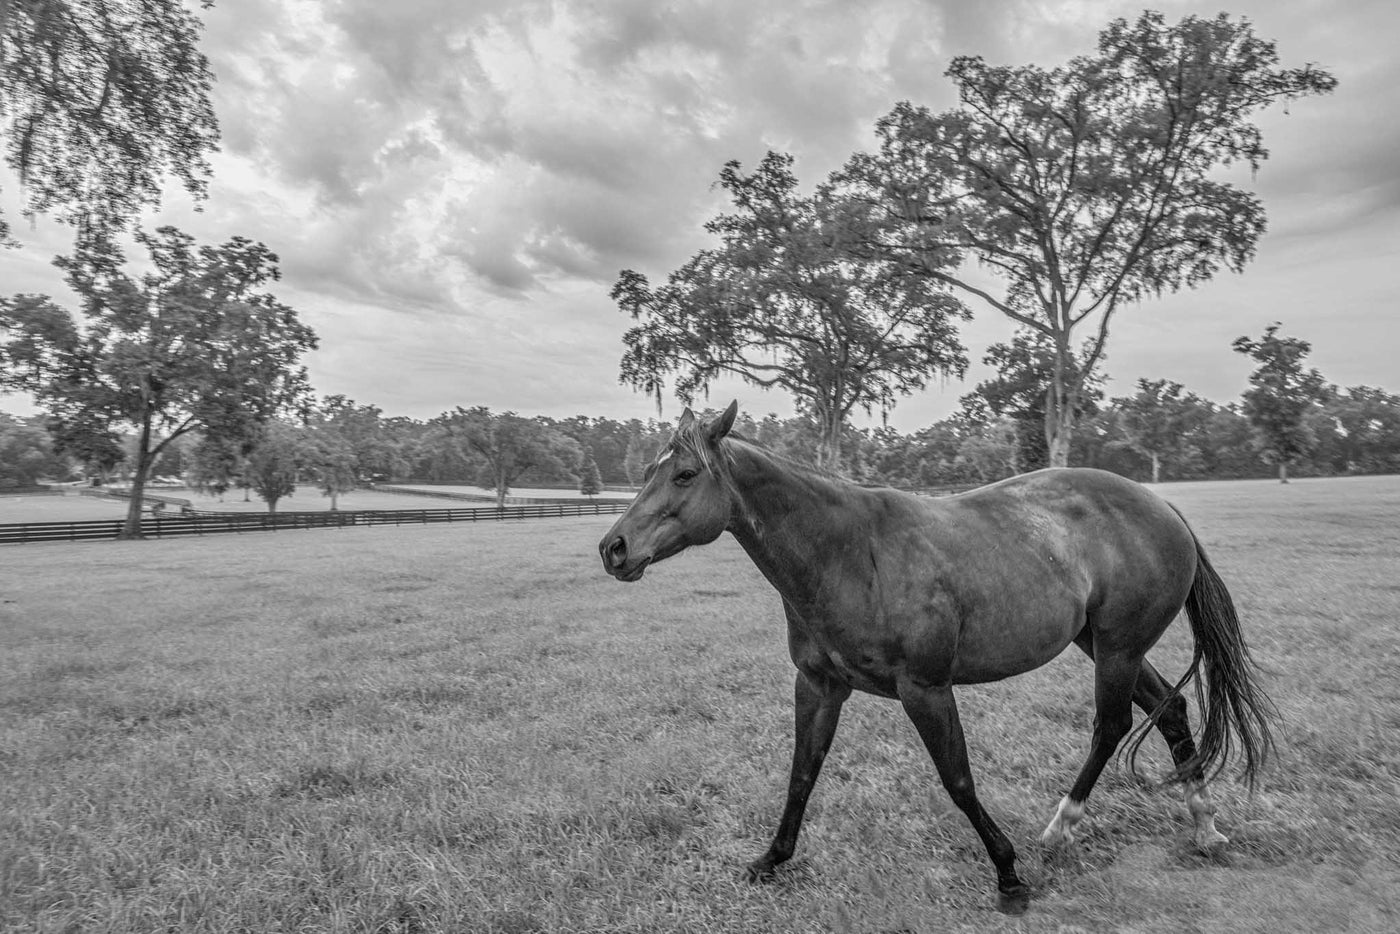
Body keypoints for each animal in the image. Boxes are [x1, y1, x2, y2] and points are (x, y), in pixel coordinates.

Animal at [596, 403, 1276, 912]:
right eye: (653, 469)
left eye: (685, 474)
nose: (613, 548)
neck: (848, 553)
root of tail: (1162, 507)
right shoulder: (818, 685)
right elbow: (801, 773)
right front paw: (771, 860)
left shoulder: (925, 689)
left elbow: (958, 779)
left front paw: (1008, 876)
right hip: (1106, 646)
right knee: (1172, 710)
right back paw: (1203, 825)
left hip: (1117, 649)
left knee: (1112, 726)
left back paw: (1063, 826)